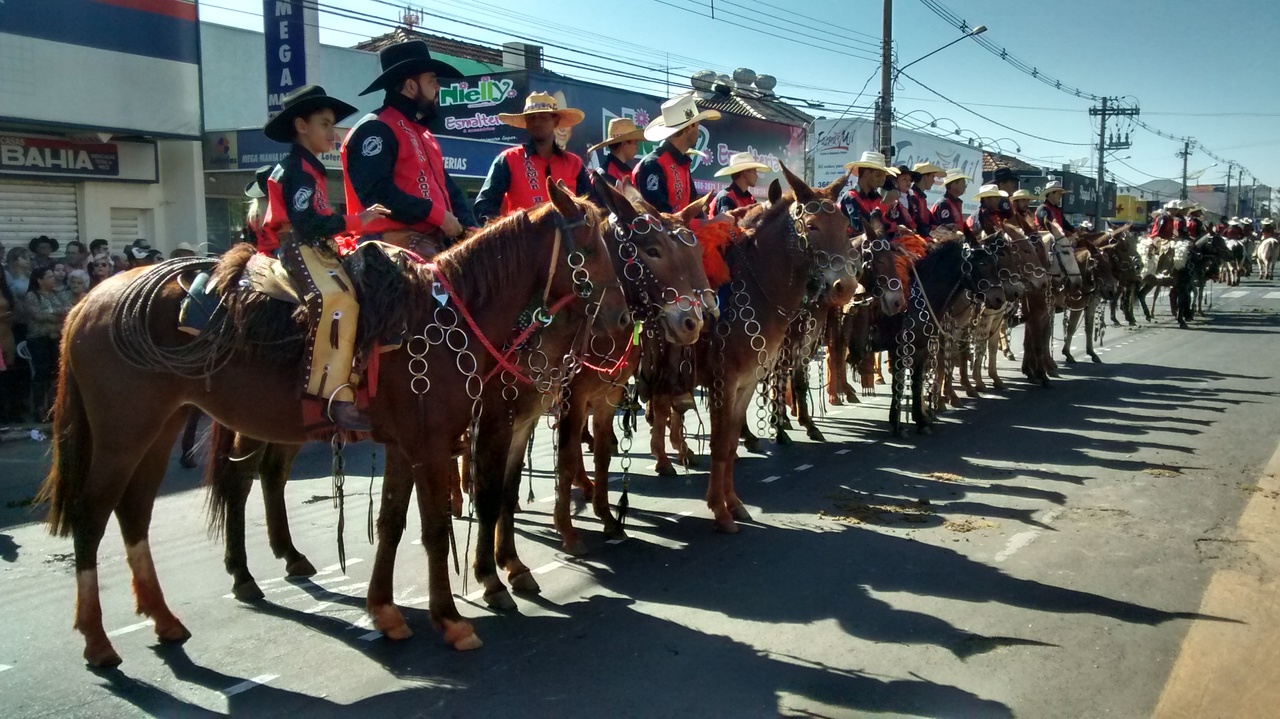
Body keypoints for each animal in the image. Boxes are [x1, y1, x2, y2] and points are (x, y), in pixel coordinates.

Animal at [40, 179, 634, 665]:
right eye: (590, 249)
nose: (622, 318)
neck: (447, 316)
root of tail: (90, 301)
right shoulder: (437, 445)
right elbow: (438, 527)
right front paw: (453, 617)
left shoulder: (407, 445)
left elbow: (393, 523)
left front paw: (386, 611)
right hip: (123, 435)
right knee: (94, 518)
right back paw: (98, 639)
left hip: (162, 430)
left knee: (142, 512)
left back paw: (170, 615)